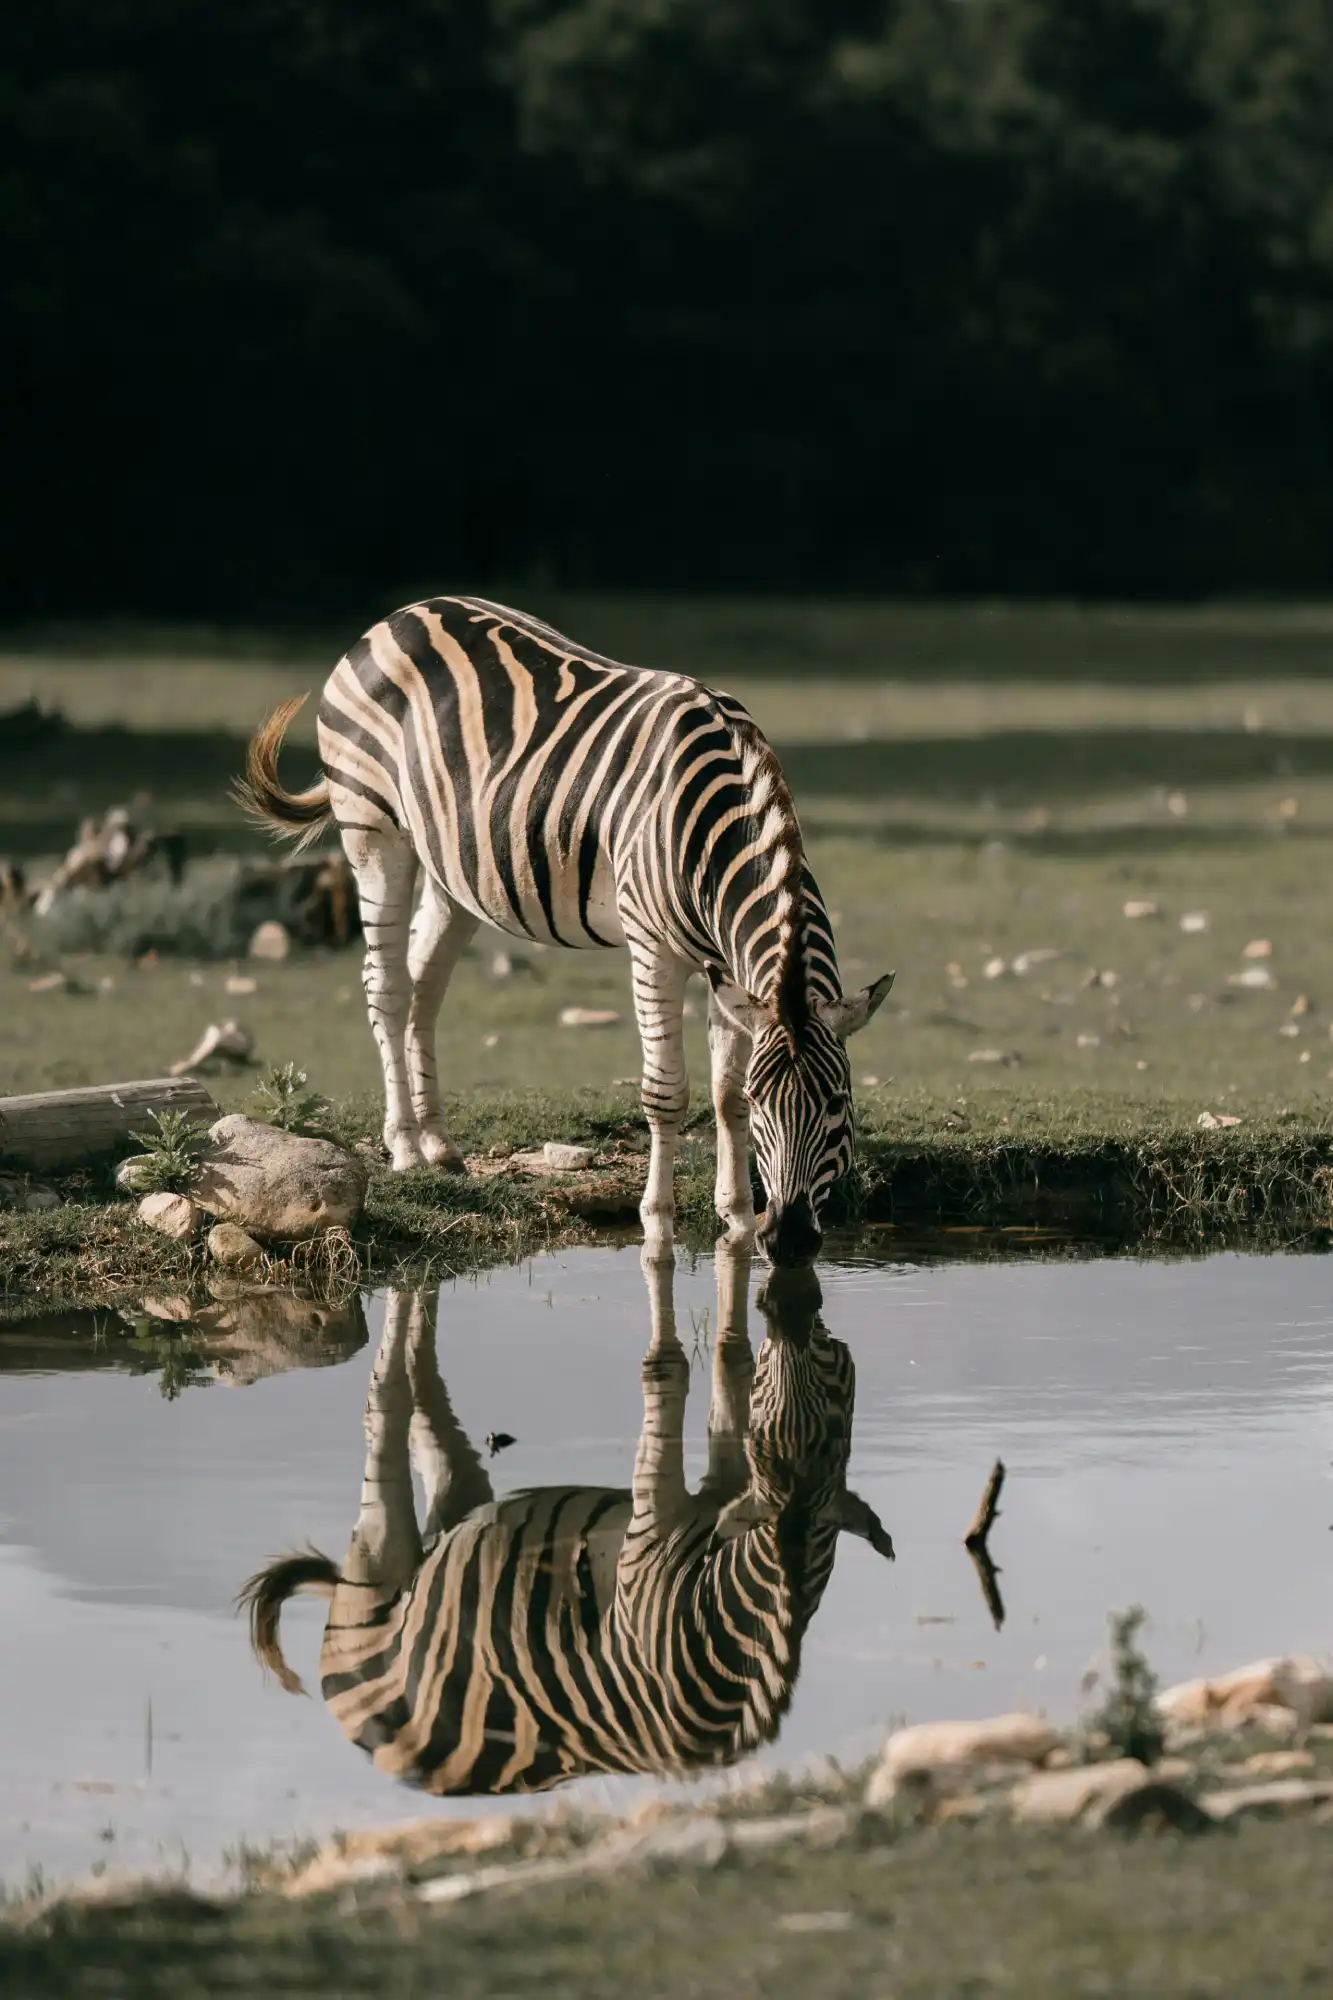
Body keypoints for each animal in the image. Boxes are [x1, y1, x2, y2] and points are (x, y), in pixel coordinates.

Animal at [233, 588, 888, 1264]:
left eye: (838, 1103)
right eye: (768, 1105)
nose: (788, 1240)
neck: (718, 826)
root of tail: (402, 614)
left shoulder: (728, 970)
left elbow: (722, 1091)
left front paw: (733, 1218)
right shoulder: (653, 947)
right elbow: (667, 1093)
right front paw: (658, 1223)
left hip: (455, 870)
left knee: (424, 986)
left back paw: (437, 1142)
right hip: (373, 830)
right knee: (385, 985)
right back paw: (406, 1147)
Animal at [239, 1248, 892, 1800]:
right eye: (834, 1380)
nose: (801, 1312)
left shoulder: (727, 1494)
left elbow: (729, 1371)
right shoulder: (652, 1537)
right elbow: (671, 1375)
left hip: (456, 1522)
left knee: (436, 1430)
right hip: (376, 1573)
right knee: (386, 1404)